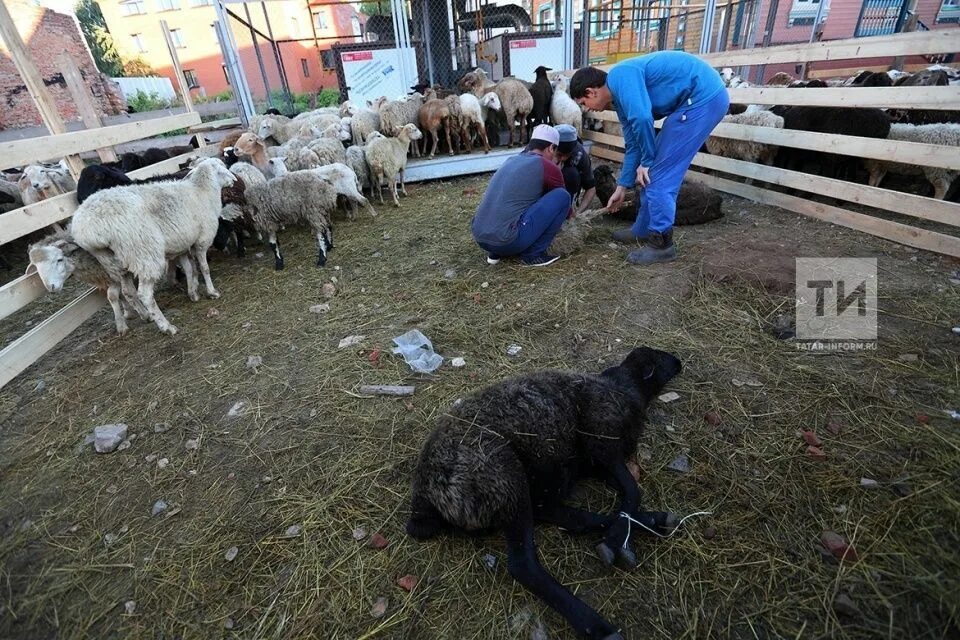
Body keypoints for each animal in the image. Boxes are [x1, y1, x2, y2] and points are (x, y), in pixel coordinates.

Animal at [70, 159, 238, 336]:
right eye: (223, 169)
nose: (234, 180)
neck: (202, 191)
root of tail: (87, 228)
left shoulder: (182, 246)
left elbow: (190, 268)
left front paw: (193, 292)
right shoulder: (201, 241)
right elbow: (204, 268)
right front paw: (211, 292)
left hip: (116, 261)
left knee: (127, 291)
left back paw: (144, 316)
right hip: (144, 253)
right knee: (144, 294)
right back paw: (166, 326)